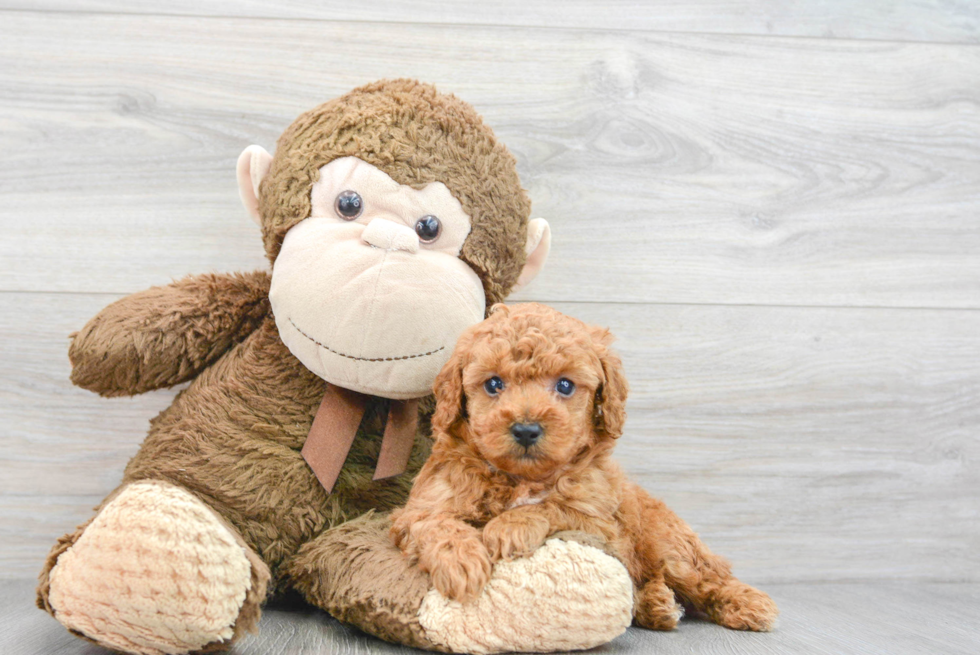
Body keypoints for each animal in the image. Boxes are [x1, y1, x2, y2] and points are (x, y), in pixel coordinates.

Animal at [386, 304, 776, 632]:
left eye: (565, 385)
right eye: (493, 384)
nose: (526, 429)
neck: (520, 479)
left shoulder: (600, 522)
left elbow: (553, 506)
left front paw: (510, 527)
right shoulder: (421, 507)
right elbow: (436, 524)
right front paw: (461, 564)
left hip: (670, 546)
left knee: (707, 576)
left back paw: (749, 604)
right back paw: (658, 606)